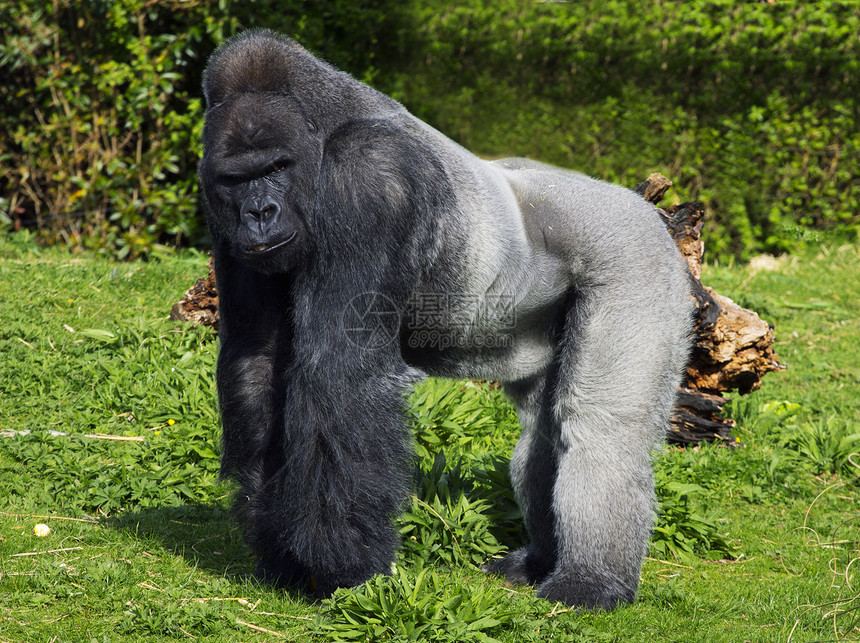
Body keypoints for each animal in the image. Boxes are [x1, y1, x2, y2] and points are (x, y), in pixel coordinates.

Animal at [200, 30, 692, 612]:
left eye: (275, 167)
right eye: (237, 179)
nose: (259, 213)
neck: (322, 131)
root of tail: (646, 208)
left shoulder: (371, 175)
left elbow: (339, 376)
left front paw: (340, 564)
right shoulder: (219, 212)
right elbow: (257, 362)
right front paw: (280, 550)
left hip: (635, 256)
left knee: (599, 426)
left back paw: (591, 581)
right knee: (541, 431)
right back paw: (540, 560)